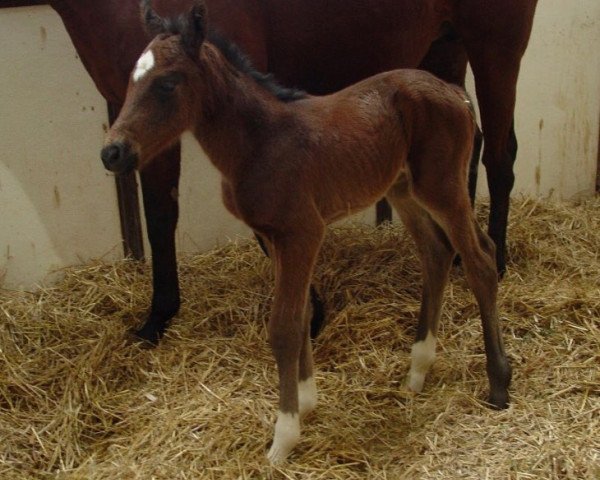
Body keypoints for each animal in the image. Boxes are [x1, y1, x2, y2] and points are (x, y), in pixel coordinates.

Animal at [49, 0, 536, 344]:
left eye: (168, 84)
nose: (111, 153)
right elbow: (161, 216)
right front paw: (157, 318)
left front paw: (312, 312)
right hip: (444, 50)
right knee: (467, 145)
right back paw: (456, 252)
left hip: (496, 47)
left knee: (499, 155)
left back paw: (494, 258)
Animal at [102, 1, 510, 464]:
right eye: (132, 80)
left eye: (168, 83)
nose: (113, 152)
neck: (259, 141)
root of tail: (455, 93)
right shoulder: (276, 237)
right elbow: (299, 319)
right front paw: (307, 402)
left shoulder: (302, 232)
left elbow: (282, 327)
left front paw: (283, 438)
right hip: (403, 188)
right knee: (437, 252)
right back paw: (417, 372)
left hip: (441, 186)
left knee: (480, 259)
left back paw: (499, 382)